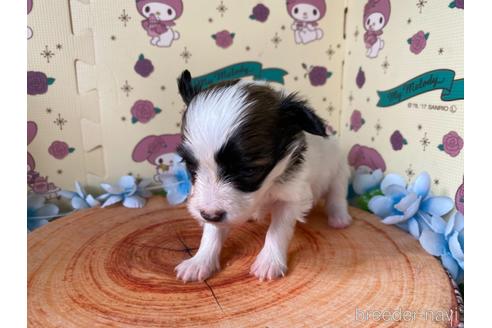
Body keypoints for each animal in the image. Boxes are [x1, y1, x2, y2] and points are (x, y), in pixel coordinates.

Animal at [173, 71, 350, 282]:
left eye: (249, 170)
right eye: (191, 166)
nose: (208, 215)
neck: (266, 188)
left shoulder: (292, 196)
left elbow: (277, 230)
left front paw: (269, 262)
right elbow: (212, 231)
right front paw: (200, 261)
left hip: (339, 170)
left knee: (337, 195)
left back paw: (339, 217)